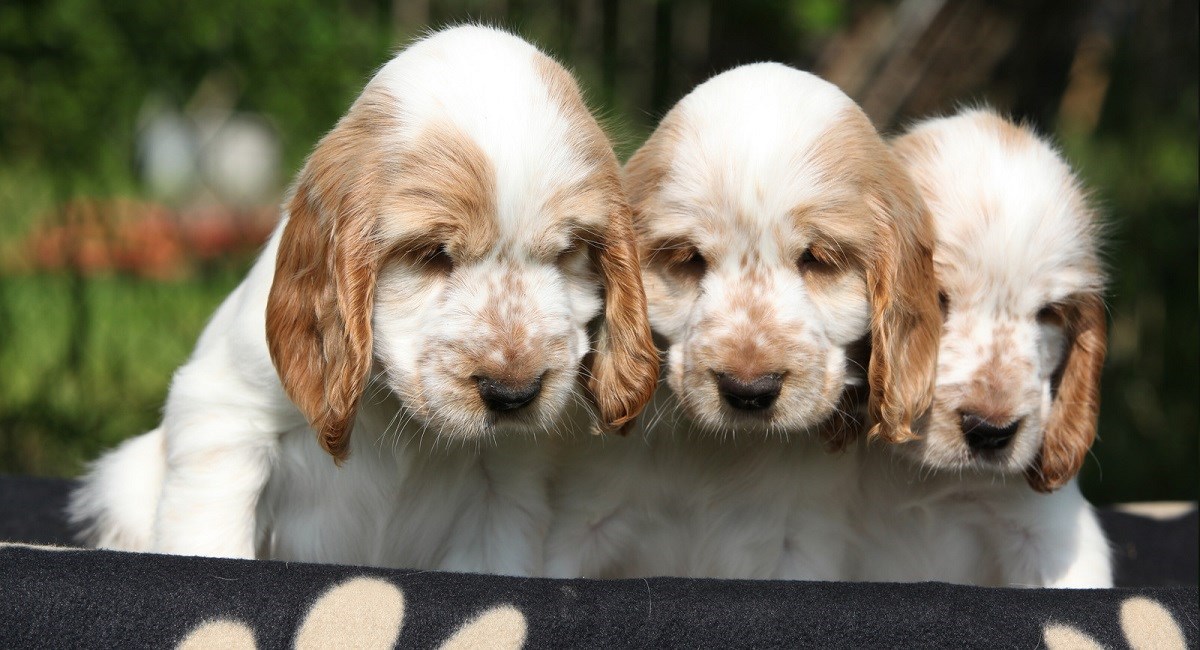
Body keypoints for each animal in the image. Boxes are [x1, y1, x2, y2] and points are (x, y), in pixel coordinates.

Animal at [65, 25, 657, 575]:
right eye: (432, 253)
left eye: (568, 252)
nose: (514, 394)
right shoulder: (226, 421)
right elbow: (209, 539)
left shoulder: (506, 488)